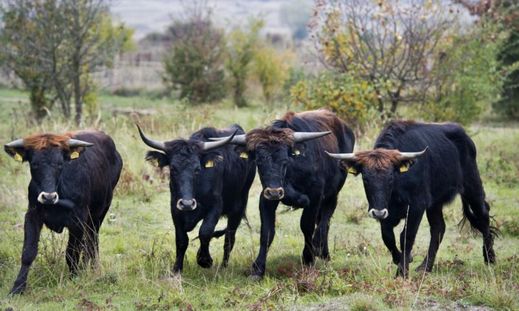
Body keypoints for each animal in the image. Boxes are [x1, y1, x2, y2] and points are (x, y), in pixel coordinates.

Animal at [4, 131, 123, 294]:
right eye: (34, 164)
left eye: (60, 164)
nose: (48, 197)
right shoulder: (32, 216)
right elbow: (28, 252)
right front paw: (18, 287)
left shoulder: (77, 221)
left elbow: (72, 253)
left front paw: (74, 277)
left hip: (99, 213)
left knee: (92, 241)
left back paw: (92, 268)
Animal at [136, 124, 254, 272]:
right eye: (173, 168)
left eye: (197, 169)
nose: (187, 204)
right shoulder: (175, 208)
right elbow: (181, 240)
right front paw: (177, 269)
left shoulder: (216, 206)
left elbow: (205, 231)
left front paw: (204, 260)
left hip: (238, 208)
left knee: (229, 238)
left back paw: (223, 267)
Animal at [328, 121, 498, 278]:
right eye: (365, 178)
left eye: (391, 177)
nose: (377, 213)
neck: (397, 188)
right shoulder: (386, 212)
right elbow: (388, 237)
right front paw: (402, 260)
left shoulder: (416, 207)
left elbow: (406, 237)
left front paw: (402, 272)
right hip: (435, 203)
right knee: (438, 228)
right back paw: (425, 267)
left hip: (472, 187)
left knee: (483, 215)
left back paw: (490, 258)